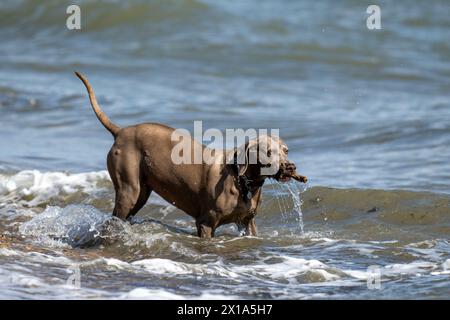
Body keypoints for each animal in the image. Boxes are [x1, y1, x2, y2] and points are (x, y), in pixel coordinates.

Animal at [75, 72, 306, 238]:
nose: (291, 167)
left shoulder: (247, 223)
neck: (242, 182)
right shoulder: (205, 223)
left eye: (286, 150)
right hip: (128, 190)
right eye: (268, 153)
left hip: (141, 192)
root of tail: (121, 131)